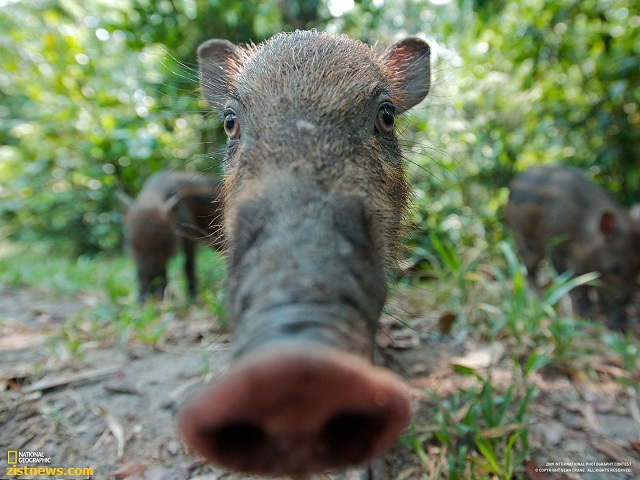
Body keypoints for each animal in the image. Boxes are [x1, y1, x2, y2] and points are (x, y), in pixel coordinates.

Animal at [117, 171, 222, 302]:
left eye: (164, 242)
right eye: (129, 243)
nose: (151, 295)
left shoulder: (188, 234)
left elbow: (188, 264)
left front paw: (192, 298)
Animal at [504, 166, 640, 330]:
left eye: (638, 268)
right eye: (616, 267)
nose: (617, 326)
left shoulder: (582, 256)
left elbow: (585, 279)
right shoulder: (554, 243)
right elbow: (569, 278)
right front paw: (579, 313)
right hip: (521, 237)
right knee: (529, 269)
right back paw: (535, 300)